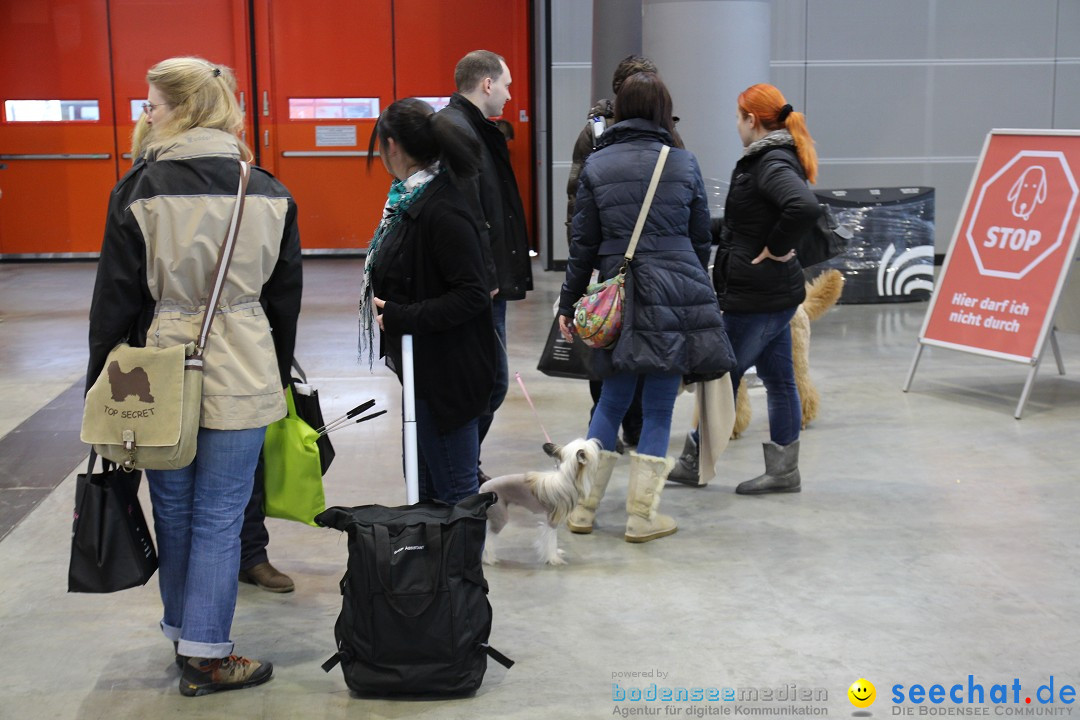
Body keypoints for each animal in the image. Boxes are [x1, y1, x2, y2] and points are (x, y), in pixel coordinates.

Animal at [483, 436, 604, 565]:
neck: (567, 478)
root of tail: (482, 489)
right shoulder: (553, 520)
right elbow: (552, 539)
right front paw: (554, 558)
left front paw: (554, 554)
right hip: (500, 517)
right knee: (488, 539)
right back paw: (489, 559)